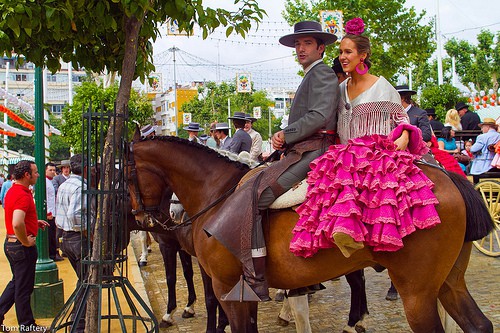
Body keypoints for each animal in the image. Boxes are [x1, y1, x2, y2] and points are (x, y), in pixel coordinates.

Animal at [127, 133, 494, 332]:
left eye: (126, 174)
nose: (143, 218)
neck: (217, 193)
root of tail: (448, 176)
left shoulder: (225, 285)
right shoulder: (243, 290)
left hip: (418, 292)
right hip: (448, 282)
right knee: (478, 324)